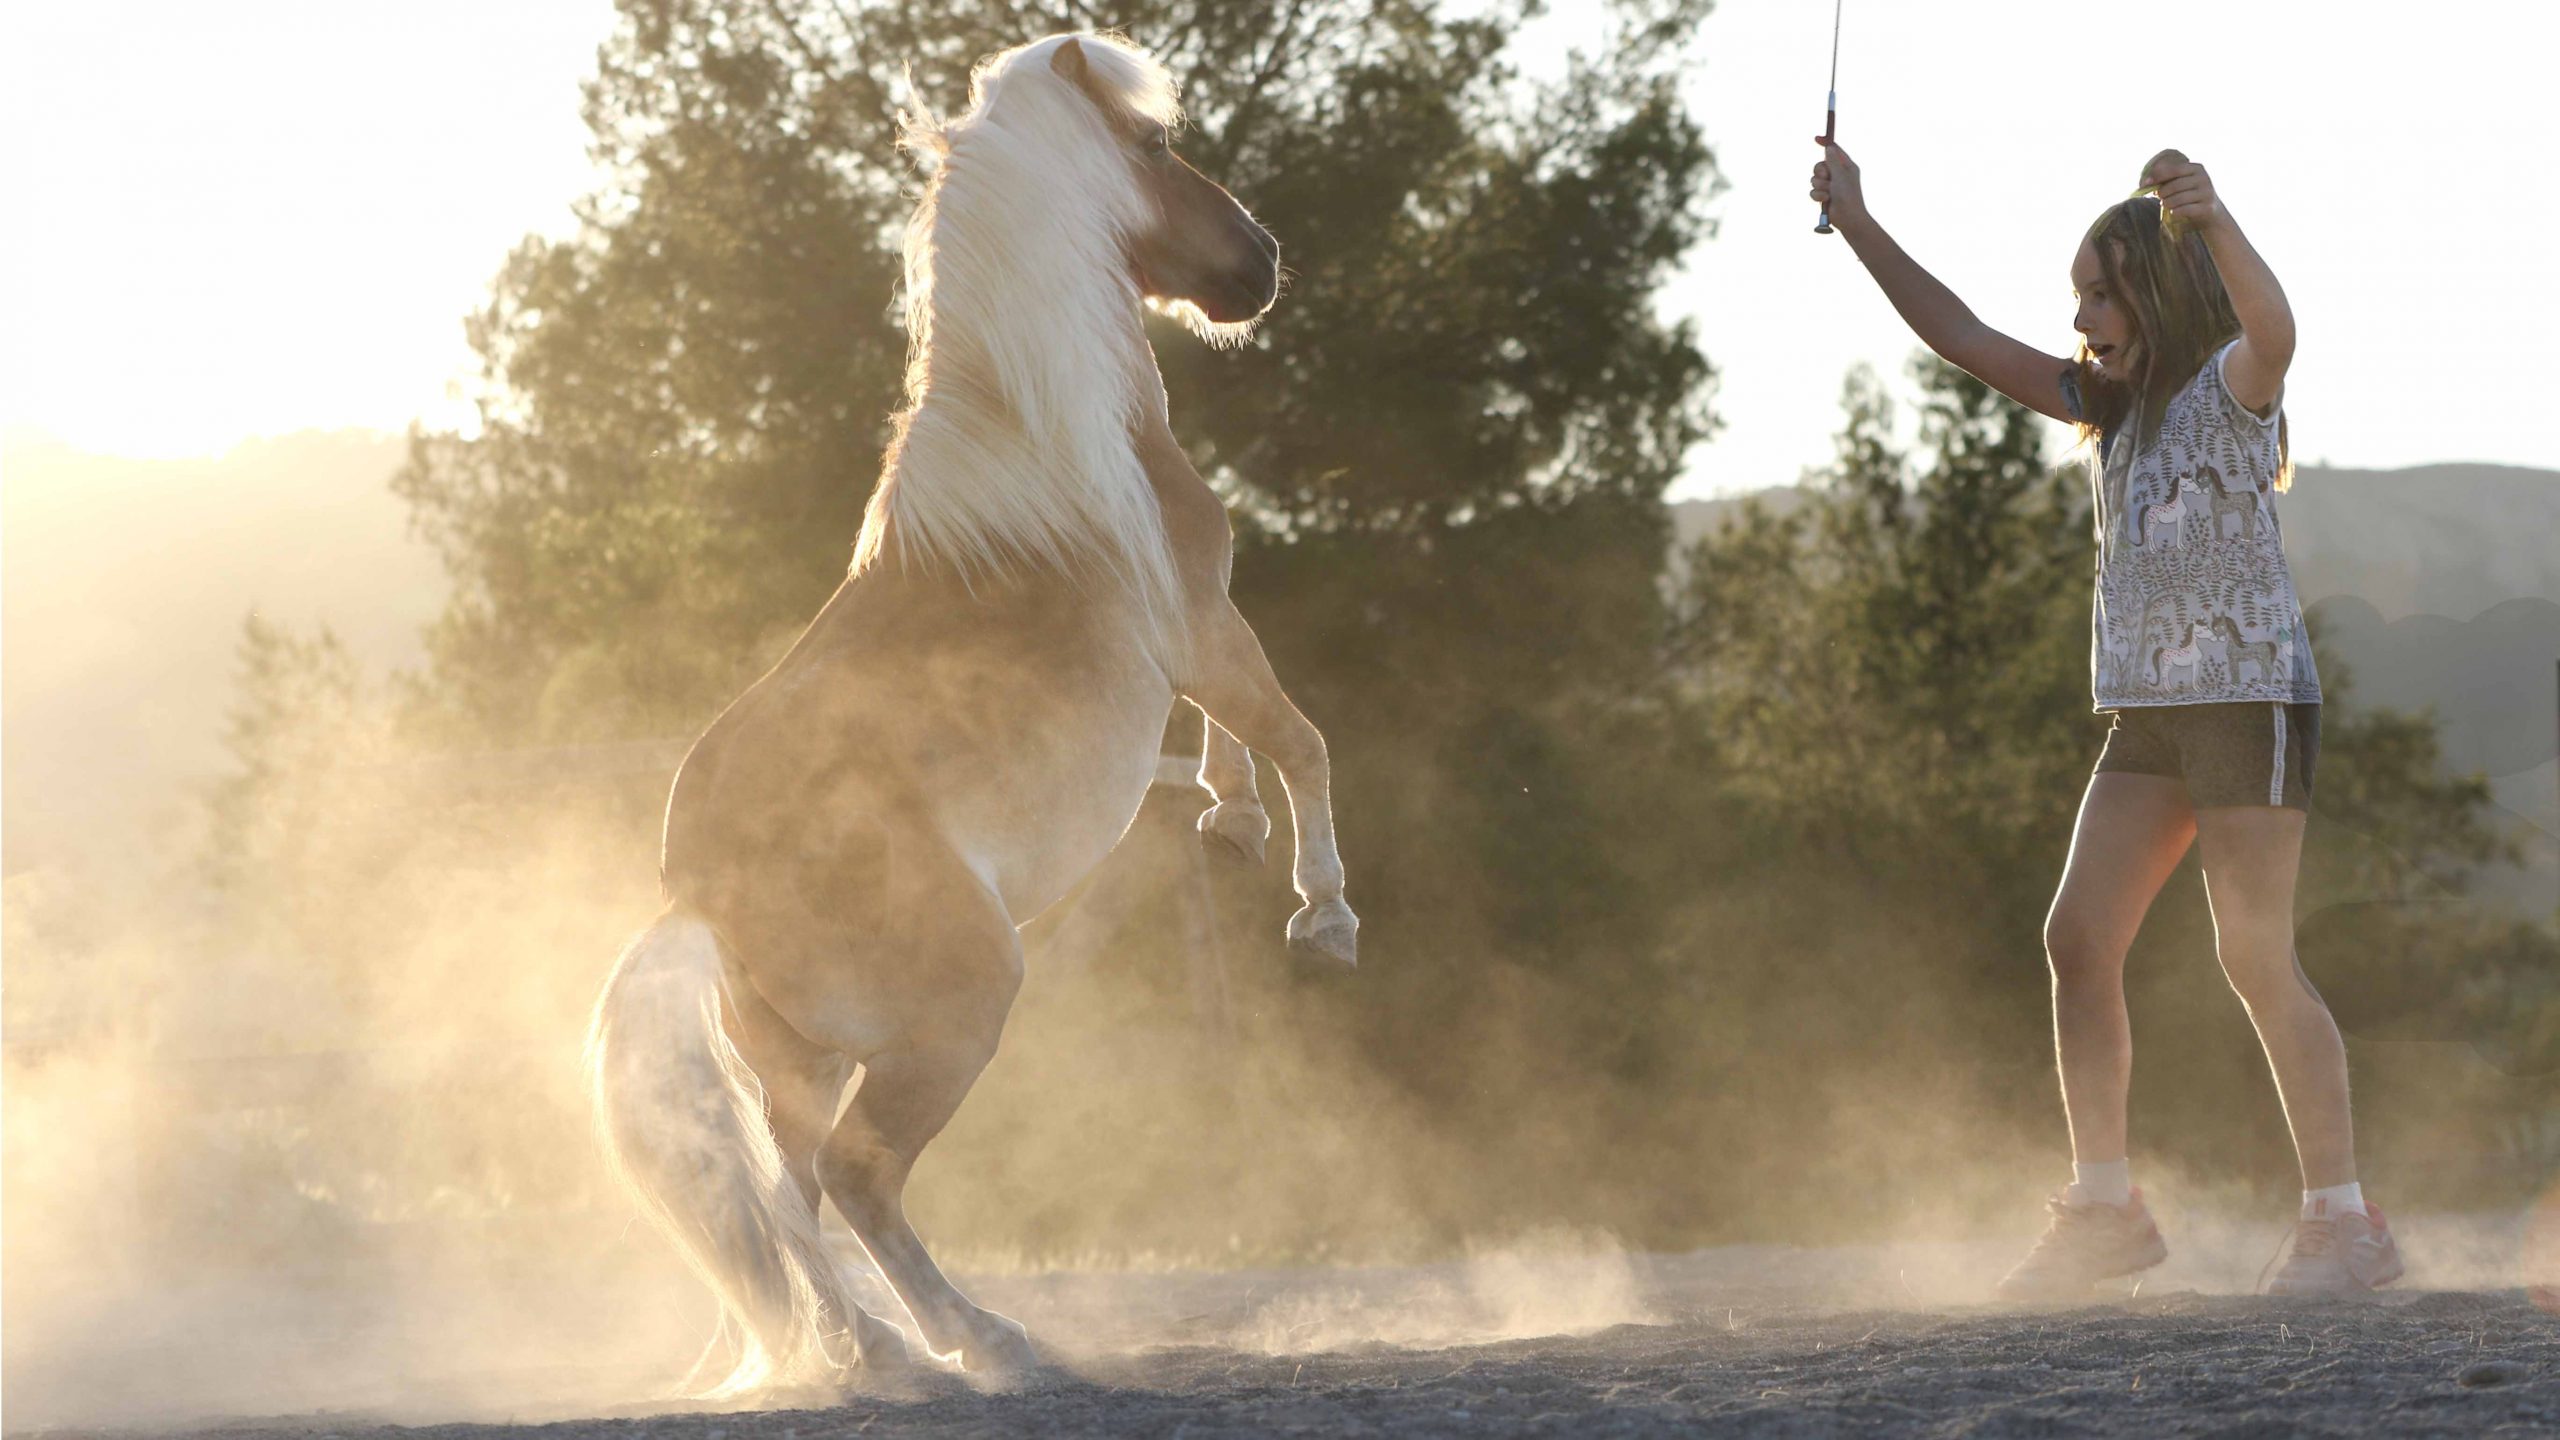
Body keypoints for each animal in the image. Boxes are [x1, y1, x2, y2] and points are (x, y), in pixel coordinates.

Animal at [583, 33, 1356, 1392]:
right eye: (1155, 144)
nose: (1259, 262)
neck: (1066, 448)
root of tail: (694, 897)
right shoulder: (1204, 629)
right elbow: (1297, 739)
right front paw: (1323, 915)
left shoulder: (1199, 641)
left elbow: (1243, 746)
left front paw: (1229, 823)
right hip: (957, 1012)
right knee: (857, 1176)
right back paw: (979, 1339)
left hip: (801, 1063)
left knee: (793, 1197)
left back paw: (874, 1355)